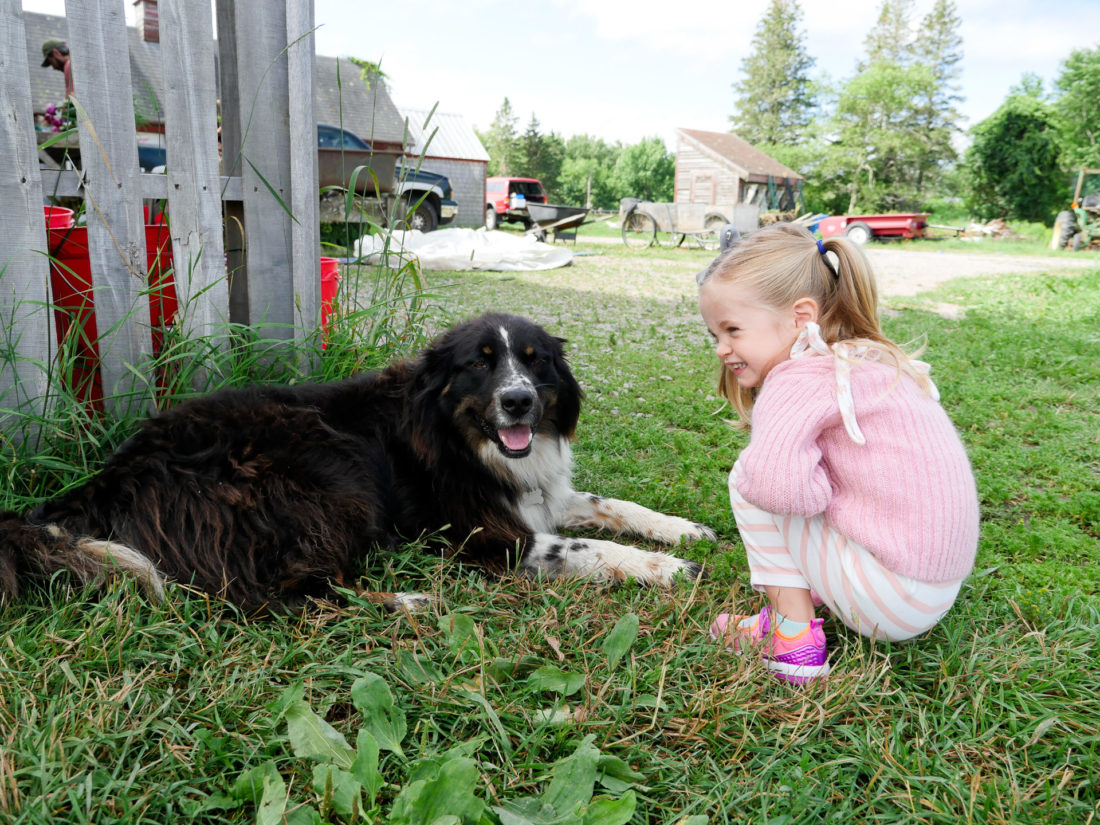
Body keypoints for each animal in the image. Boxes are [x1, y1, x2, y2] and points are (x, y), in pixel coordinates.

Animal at [0, 314, 708, 616]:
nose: (519, 402)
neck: (460, 436)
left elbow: (612, 506)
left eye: (534, 362)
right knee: (272, 596)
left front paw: (684, 530)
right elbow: (588, 546)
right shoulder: (485, 534)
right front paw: (665, 568)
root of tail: (110, 475)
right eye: (479, 364)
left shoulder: (538, 494)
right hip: (331, 474)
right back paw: (409, 599)